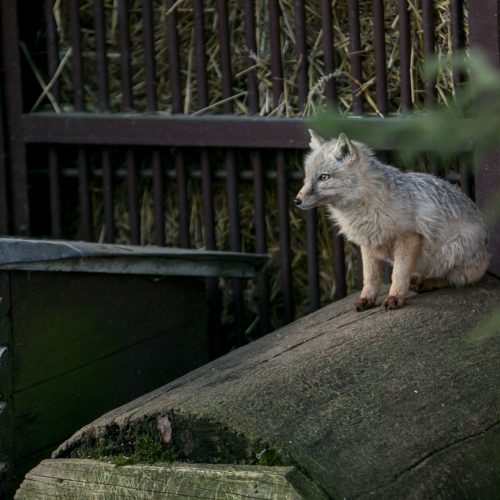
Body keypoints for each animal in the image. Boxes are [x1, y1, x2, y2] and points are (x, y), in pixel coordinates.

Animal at [294, 132, 490, 312]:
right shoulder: (368, 243)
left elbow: (398, 274)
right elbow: (370, 278)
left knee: (452, 278)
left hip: (451, 250)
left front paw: (395, 297)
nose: (296, 201)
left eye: (323, 177)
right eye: (306, 178)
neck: (366, 208)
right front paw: (366, 299)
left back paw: (427, 282)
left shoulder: (408, 238)